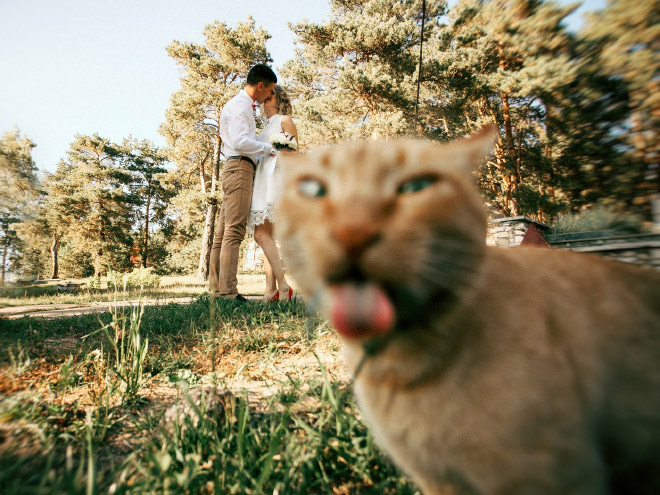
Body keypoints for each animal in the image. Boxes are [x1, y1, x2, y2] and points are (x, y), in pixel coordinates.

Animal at [276, 128, 660, 495]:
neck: (402, 368)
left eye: (416, 187)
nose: (353, 232)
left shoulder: (550, 478)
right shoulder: (439, 482)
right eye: (312, 189)